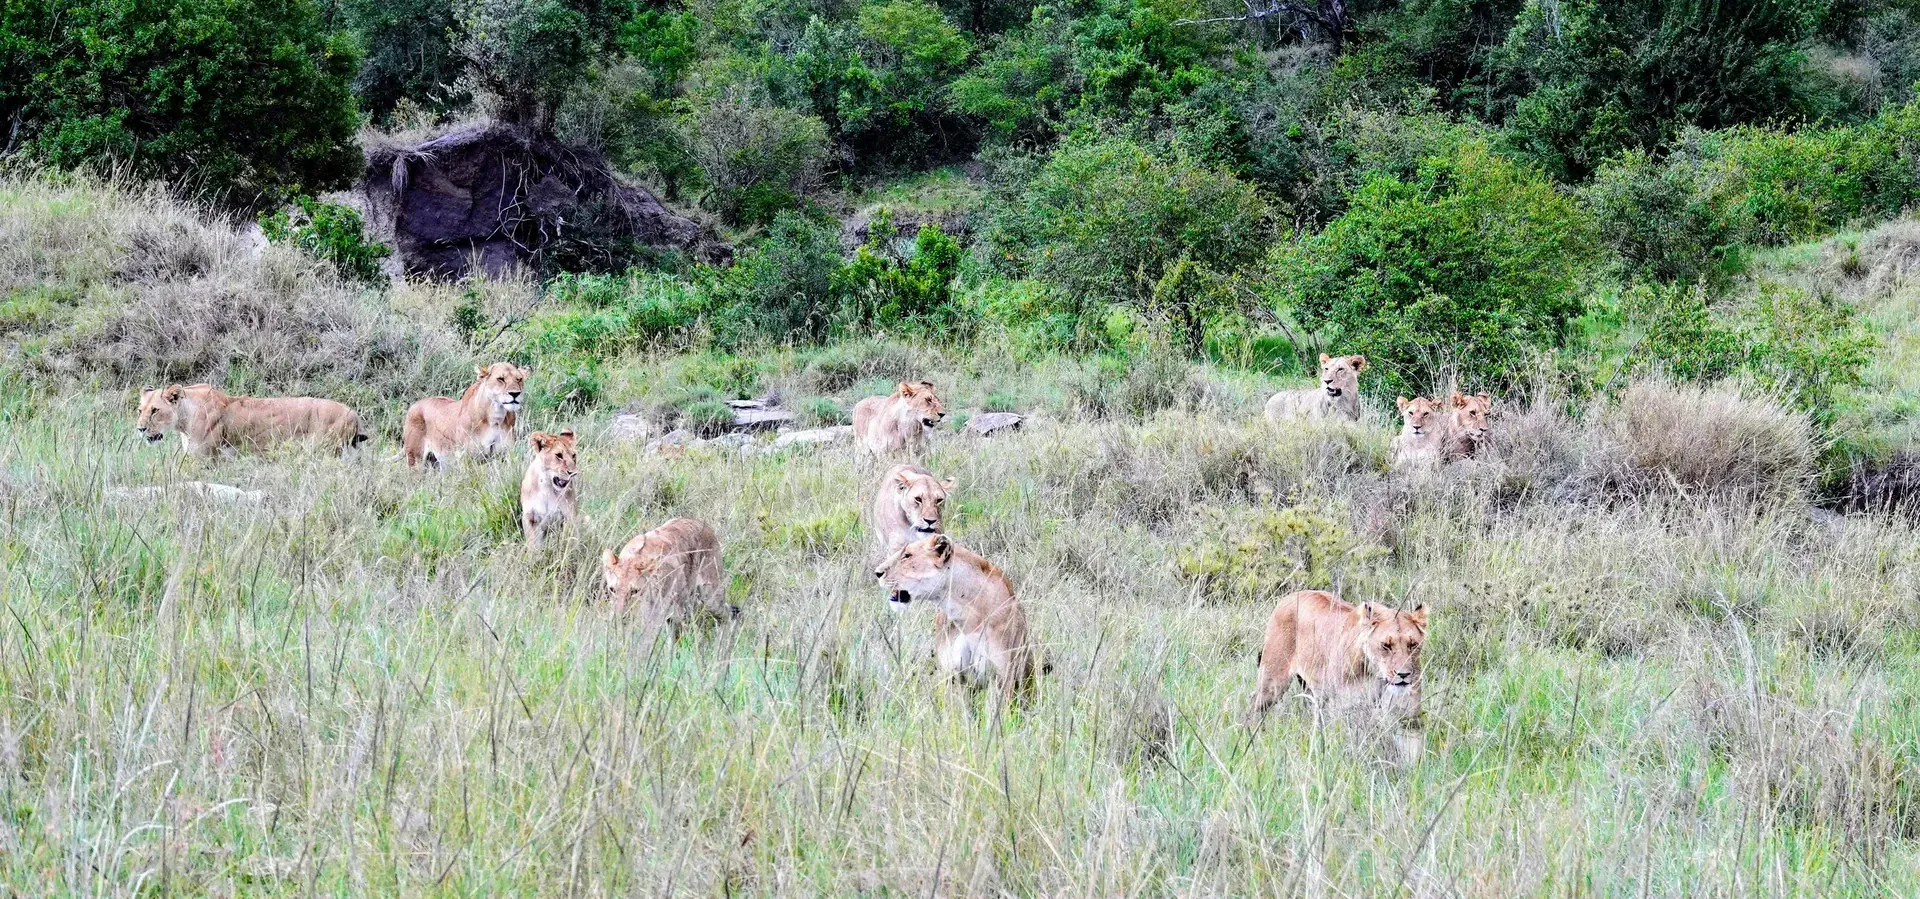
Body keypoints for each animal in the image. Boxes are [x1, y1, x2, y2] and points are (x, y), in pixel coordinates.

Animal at [135, 384, 366, 456]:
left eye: (155, 410)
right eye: (140, 410)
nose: (140, 429)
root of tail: (353, 413)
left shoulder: (204, 458)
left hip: (323, 450)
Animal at [601, 518, 735, 631]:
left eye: (634, 591)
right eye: (612, 589)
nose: (619, 617)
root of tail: (700, 523)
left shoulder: (675, 614)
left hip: (711, 597)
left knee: (728, 615)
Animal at [1247, 590, 1427, 740]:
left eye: (1413, 645)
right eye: (1386, 645)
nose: (1403, 675)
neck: (1376, 675)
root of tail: (1289, 596)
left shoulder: (1410, 719)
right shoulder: (1341, 712)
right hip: (1273, 681)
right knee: (1255, 702)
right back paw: (1252, 735)